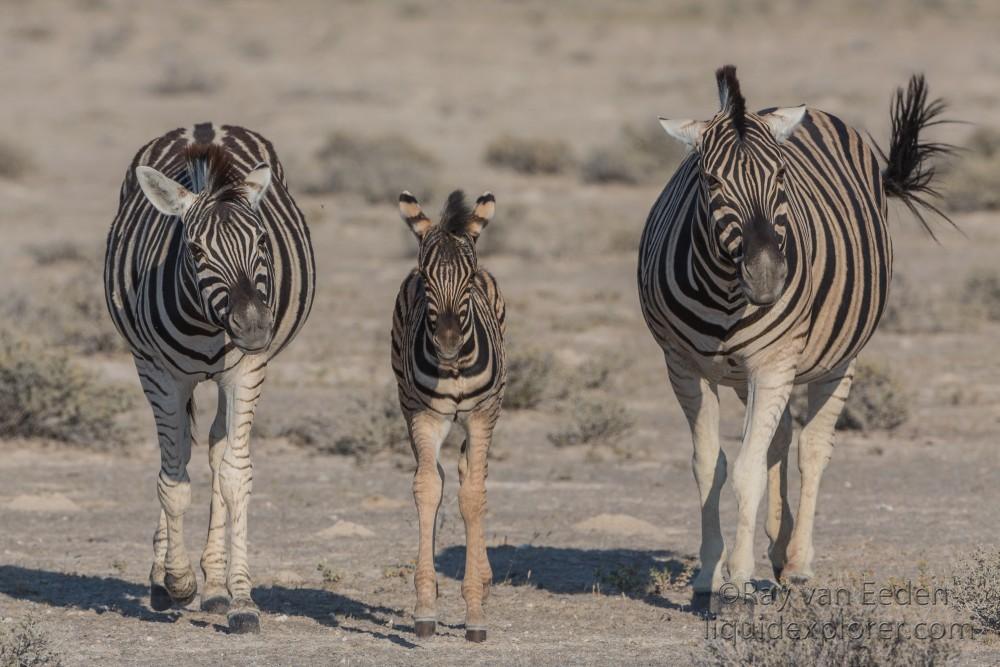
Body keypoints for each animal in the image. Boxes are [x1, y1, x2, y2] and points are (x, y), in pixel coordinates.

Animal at [103, 124, 314, 632]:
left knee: (218, 453)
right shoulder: (160, 374)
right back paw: (164, 581)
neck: (204, 320)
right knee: (176, 455)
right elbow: (173, 481)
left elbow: (235, 476)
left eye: (262, 243)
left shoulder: (245, 372)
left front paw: (240, 599)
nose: (255, 328)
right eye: (196, 250)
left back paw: (216, 587)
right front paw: (177, 580)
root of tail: (206, 126)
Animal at [386, 189, 504, 640]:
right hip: (406, 401)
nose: (449, 344)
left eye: (467, 281)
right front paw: (425, 607)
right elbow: (426, 488)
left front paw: (474, 613)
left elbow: (472, 496)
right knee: (441, 473)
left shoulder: (482, 415)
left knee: (473, 475)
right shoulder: (424, 415)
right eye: (425, 277)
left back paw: (484, 582)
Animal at [640, 68, 952, 596]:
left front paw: (739, 578)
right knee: (782, 438)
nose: (767, 277)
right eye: (710, 180)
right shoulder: (683, 366)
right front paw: (708, 571)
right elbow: (709, 465)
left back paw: (799, 561)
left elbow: (746, 471)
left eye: (782, 175)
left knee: (812, 448)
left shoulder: (772, 363)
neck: (726, 292)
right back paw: (778, 547)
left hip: (837, 360)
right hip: (749, 376)